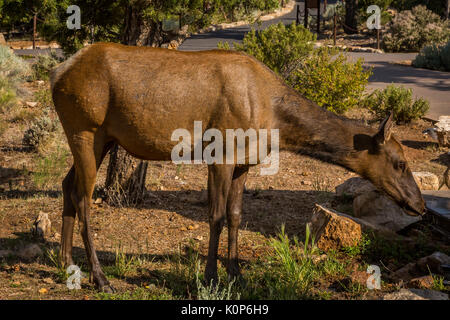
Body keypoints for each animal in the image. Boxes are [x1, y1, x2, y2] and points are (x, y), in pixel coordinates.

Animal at [51, 42, 424, 292]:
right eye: (400, 162)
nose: (419, 205)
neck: (276, 122)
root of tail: (57, 74)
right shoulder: (221, 155)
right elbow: (215, 216)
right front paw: (211, 277)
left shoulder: (245, 162)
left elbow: (235, 215)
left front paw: (236, 273)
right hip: (85, 129)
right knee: (84, 198)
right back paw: (100, 277)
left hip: (103, 138)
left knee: (67, 184)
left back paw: (67, 263)